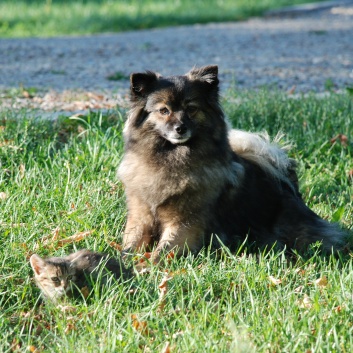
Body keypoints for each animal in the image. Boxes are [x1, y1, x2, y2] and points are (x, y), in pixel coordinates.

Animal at [118, 65, 344, 258]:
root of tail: (288, 184)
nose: (180, 128)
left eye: (191, 109)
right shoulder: (141, 217)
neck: (170, 159)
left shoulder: (185, 222)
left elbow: (164, 250)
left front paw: (146, 266)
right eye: (164, 111)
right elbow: (129, 246)